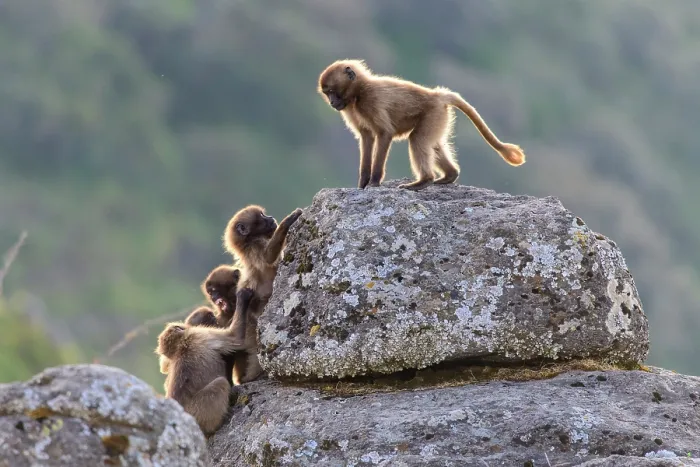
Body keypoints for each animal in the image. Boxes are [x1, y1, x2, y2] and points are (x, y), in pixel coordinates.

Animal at [154, 287, 254, 436]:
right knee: (220, 383)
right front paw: (243, 297)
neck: (181, 345)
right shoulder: (202, 335)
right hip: (199, 410)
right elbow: (235, 337)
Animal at [222, 205, 303, 383]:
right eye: (261, 216)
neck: (248, 242)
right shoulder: (255, 246)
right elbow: (268, 257)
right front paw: (289, 220)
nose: (271, 217)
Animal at [317, 59, 526, 191]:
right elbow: (366, 137)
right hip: (439, 117)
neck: (358, 92)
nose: (332, 103)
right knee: (433, 144)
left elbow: (384, 133)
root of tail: (437, 95)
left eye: (331, 91)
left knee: (417, 139)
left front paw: (374, 182)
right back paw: (449, 175)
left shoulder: (371, 101)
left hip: (433, 114)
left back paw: (424, 181)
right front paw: (362, 184)